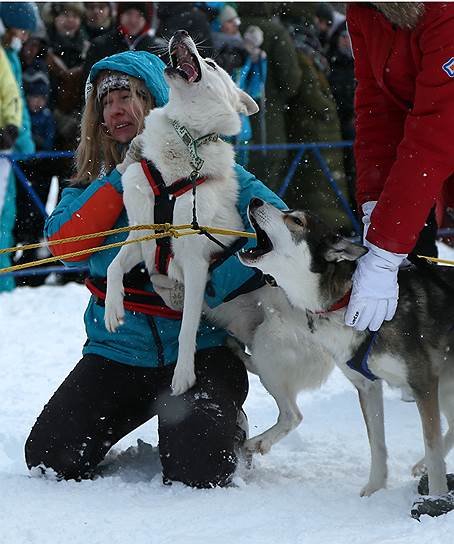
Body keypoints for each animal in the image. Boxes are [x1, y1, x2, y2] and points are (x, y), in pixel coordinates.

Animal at [103, 29, 258, 396]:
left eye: (212, 63)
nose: (181, 32)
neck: (187, 140)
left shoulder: (196, 264)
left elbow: (187, 327)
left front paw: (184, 376)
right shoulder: (142, 237)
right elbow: (114, 267)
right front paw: (113, 308)